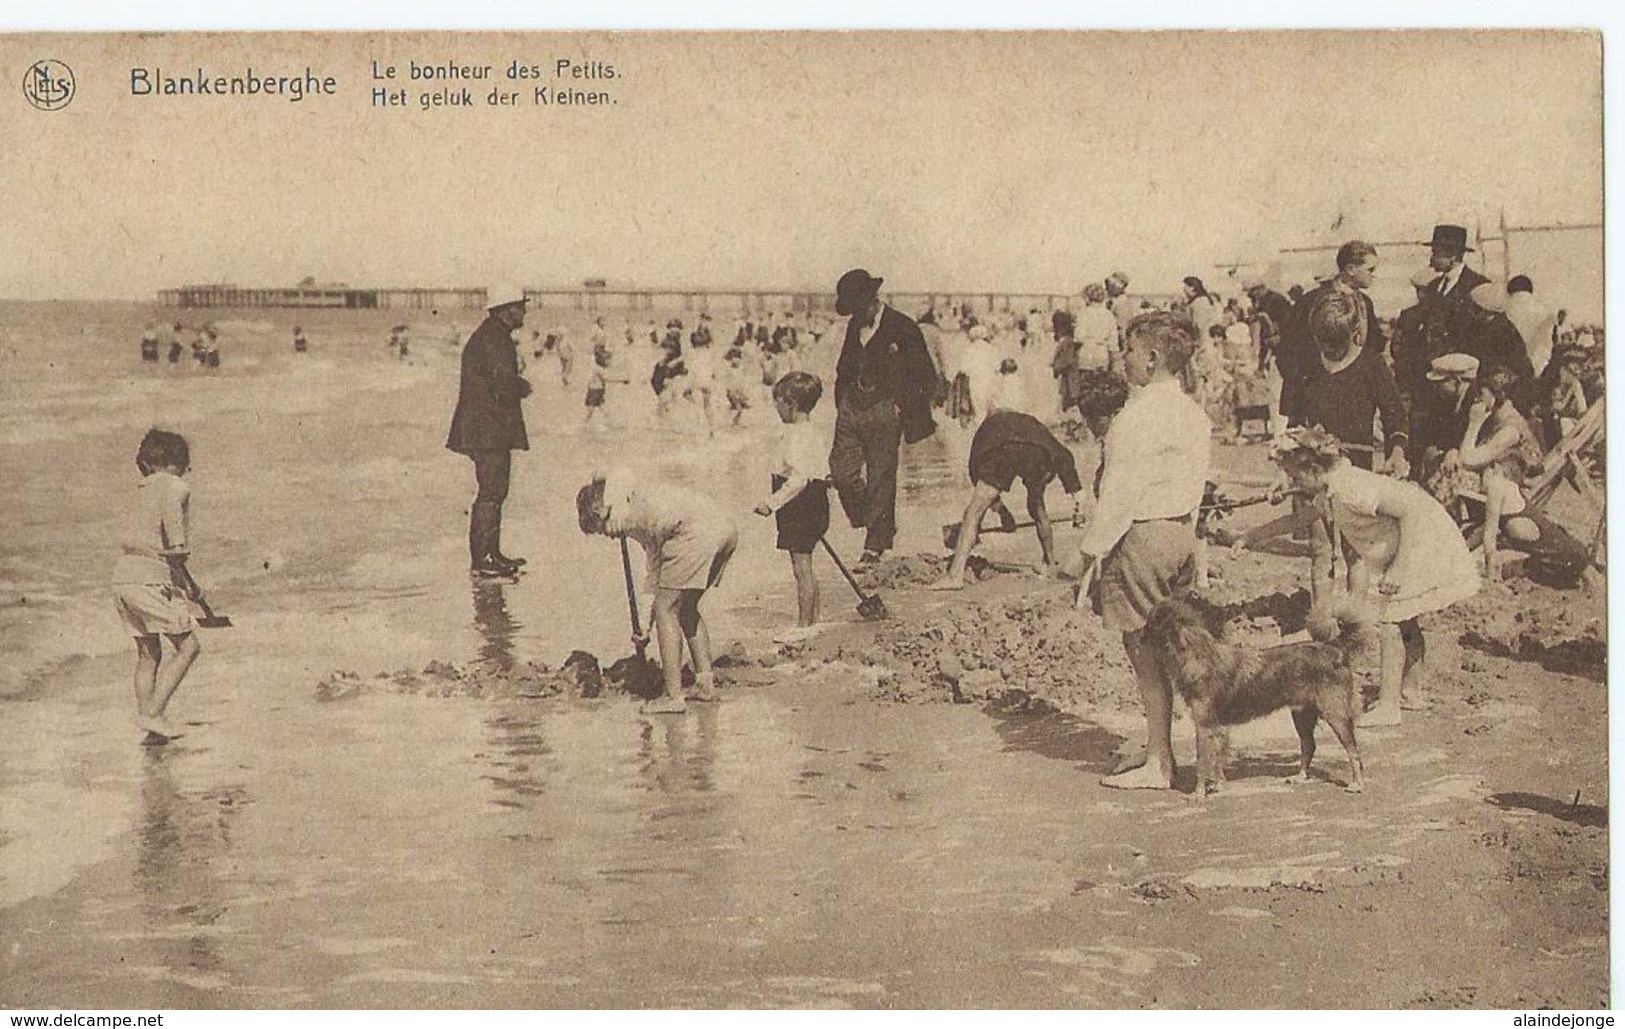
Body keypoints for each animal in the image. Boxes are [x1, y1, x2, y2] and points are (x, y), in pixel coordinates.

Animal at [1144, 594, 1371, 793]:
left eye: (1150, 623)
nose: (1139, 634)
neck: (1198, 657)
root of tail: (1332, 646)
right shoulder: (1218, 728)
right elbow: (1217, 760)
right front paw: (1218, 785)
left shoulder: (1205, 725)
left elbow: (1203, 762)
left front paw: (1199, 793)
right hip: (1301, 714)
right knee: (1309, 745)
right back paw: (1300, 777)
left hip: (1335, 713)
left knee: (1353, 751)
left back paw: (1358, 784)